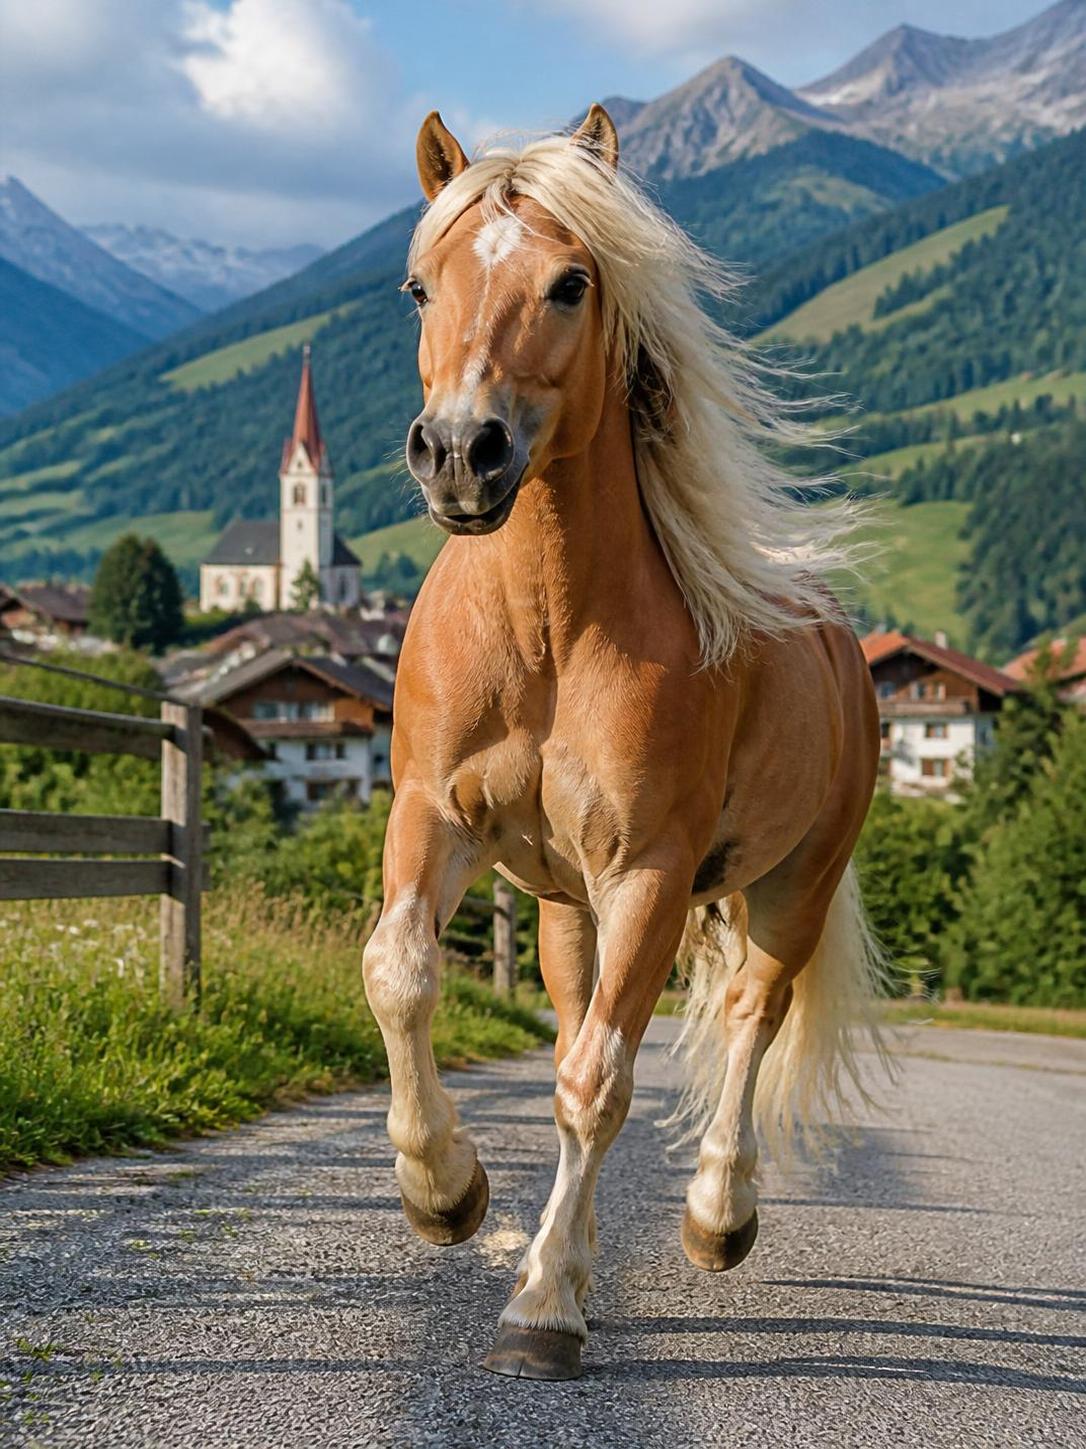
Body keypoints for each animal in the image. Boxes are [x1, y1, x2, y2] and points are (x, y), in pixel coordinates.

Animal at [362, 104, 887, 1382]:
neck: (548, 629)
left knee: (749, 1017)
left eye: (569, 283)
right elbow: (402, 975)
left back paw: (716, 1215)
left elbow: (602, 1082)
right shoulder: (434, 817)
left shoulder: (648, 872)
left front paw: (545, 1307)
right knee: (574, 1023)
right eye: (418, 286)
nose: (462, 452)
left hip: (791, 887)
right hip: (564, 905)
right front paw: (445, 1191)